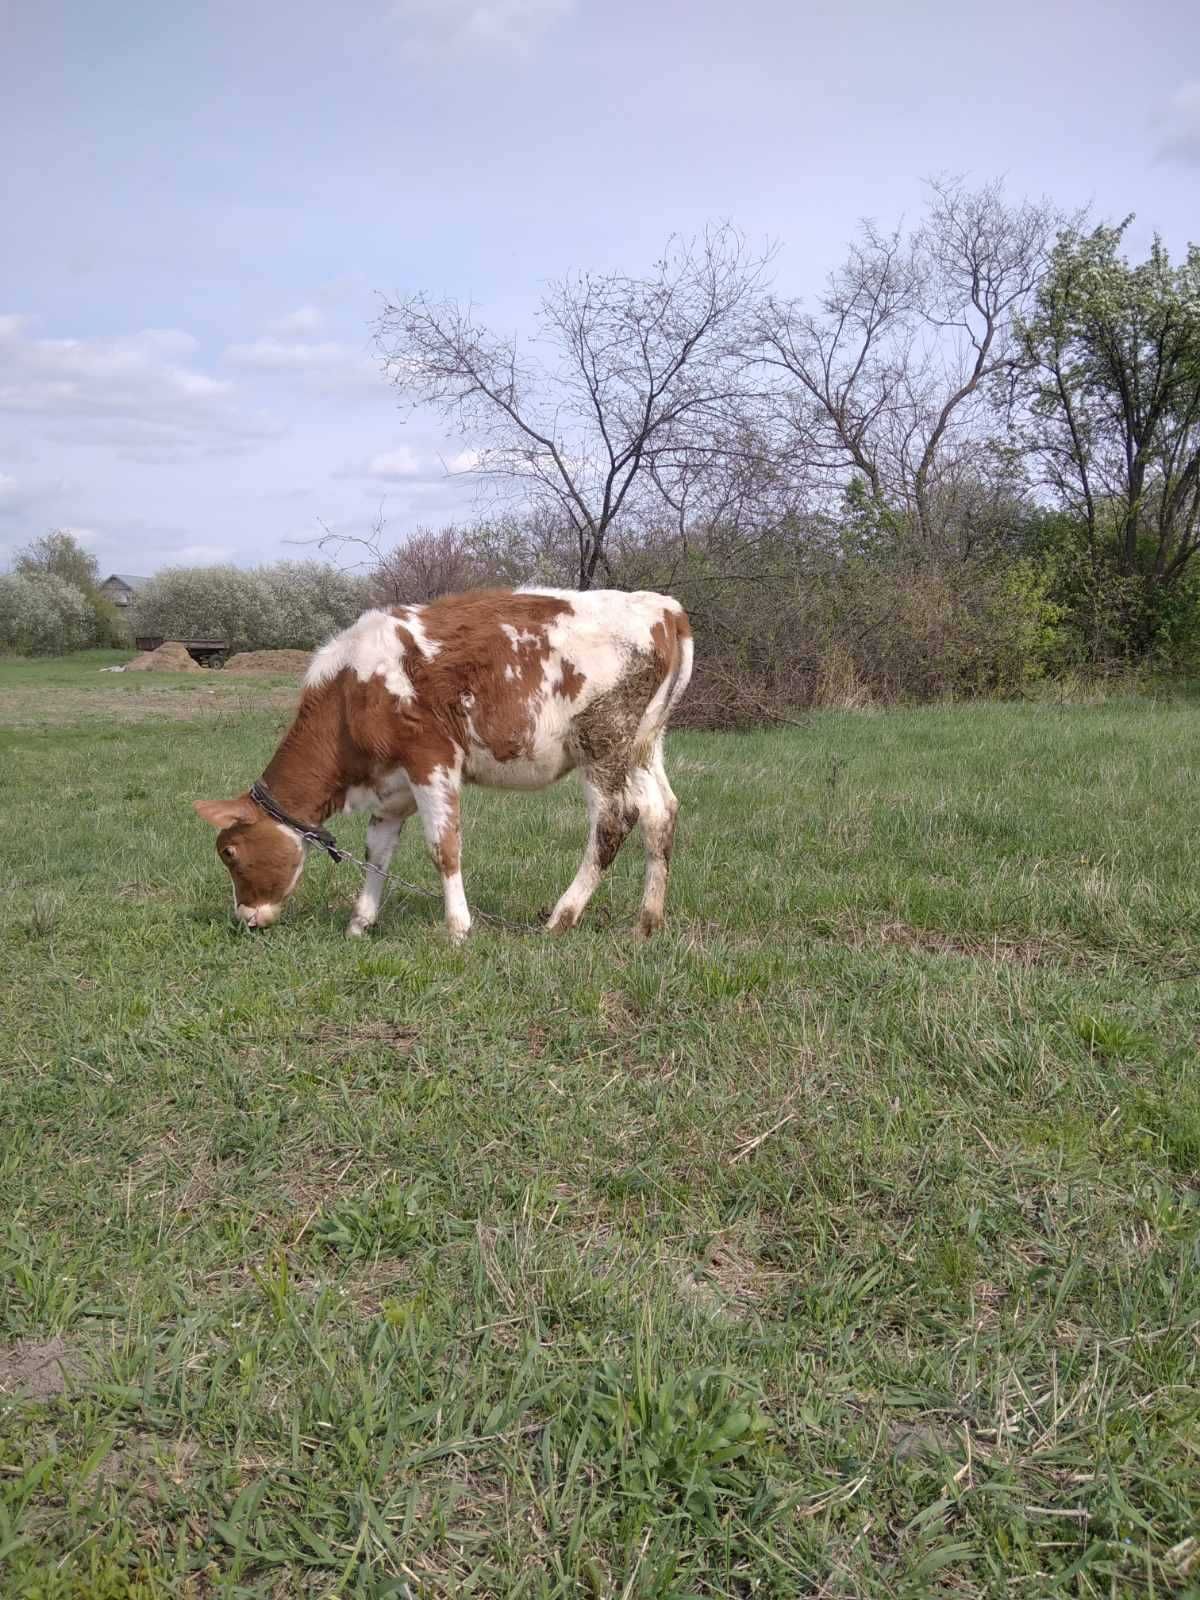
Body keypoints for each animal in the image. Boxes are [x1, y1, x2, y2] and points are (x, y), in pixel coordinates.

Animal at [192, 585, 691, 934]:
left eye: (229, 853)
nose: (244, 918)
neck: (351, 692)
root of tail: (663, 607)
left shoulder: (430, 760)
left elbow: (443, 847)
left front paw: (457, 928)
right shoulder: (392, 785)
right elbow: (378, 852)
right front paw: (360, 924)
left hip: (602, 741)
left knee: (614, 819)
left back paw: (561, 918)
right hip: (643, 745)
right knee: (660, 812)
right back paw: (647, 923)